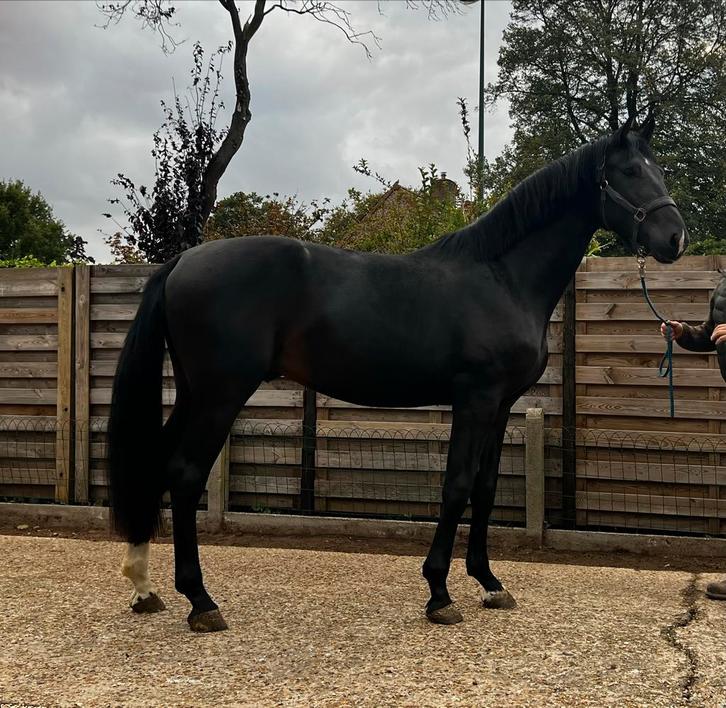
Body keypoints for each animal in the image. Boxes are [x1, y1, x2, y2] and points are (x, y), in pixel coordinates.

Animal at [108, 115, 688, 632]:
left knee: (159, 462)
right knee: (186, 473)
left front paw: (489, 583)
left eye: (658, 168)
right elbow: (456, 485)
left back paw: (144, 587)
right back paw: (200, 601)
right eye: (629, 170)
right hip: (221, 394)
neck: (501, 278)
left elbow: (487, 486)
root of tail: (183, 262)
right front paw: (439, 594)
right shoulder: (475, 398)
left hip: (195, 392)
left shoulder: (501, 405)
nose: (675, 239)